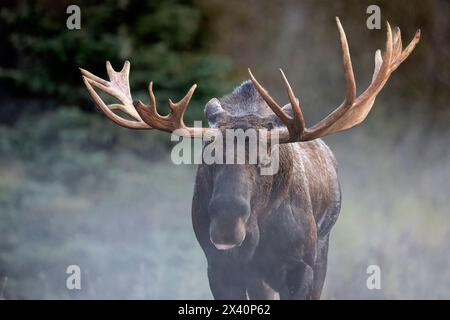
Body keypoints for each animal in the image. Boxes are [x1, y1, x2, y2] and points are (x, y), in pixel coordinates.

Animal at [80, 17, 418, 298]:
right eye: (208, 157)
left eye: (265, 159)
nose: (227, 222)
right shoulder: (219, 267)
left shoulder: (301, 267)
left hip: (321, 250)